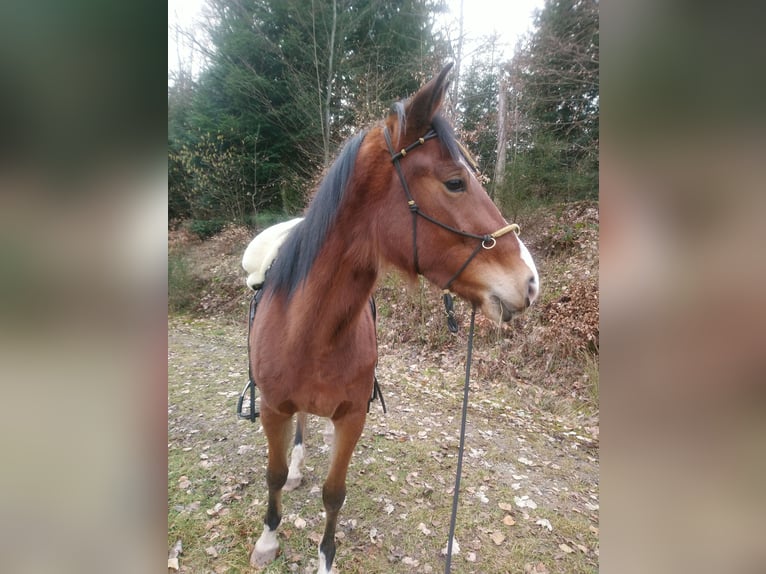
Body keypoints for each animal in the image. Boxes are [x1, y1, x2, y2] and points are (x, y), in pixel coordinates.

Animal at [247, 63, 539, 573]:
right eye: (455, 182)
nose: (531, 281)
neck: (312, 333)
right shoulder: (271, 407)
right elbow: (274, 474)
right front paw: (268, 538)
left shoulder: (351, 419)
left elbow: (334, 494)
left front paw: (325, 559)